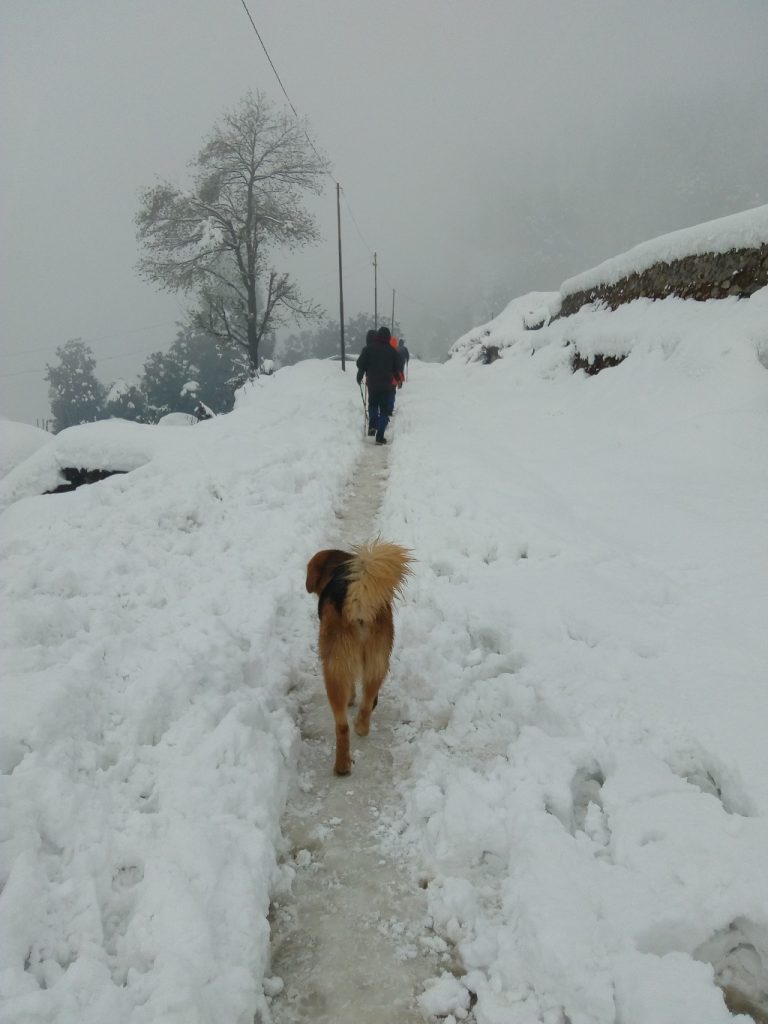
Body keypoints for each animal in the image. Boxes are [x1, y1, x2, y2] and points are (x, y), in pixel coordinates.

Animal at [307, 540, 415, 770]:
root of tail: (359, 606)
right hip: (378, 660)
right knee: (367, 703)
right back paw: (361, 726)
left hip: (335, 668)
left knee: (341, 726)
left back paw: (342, 766)